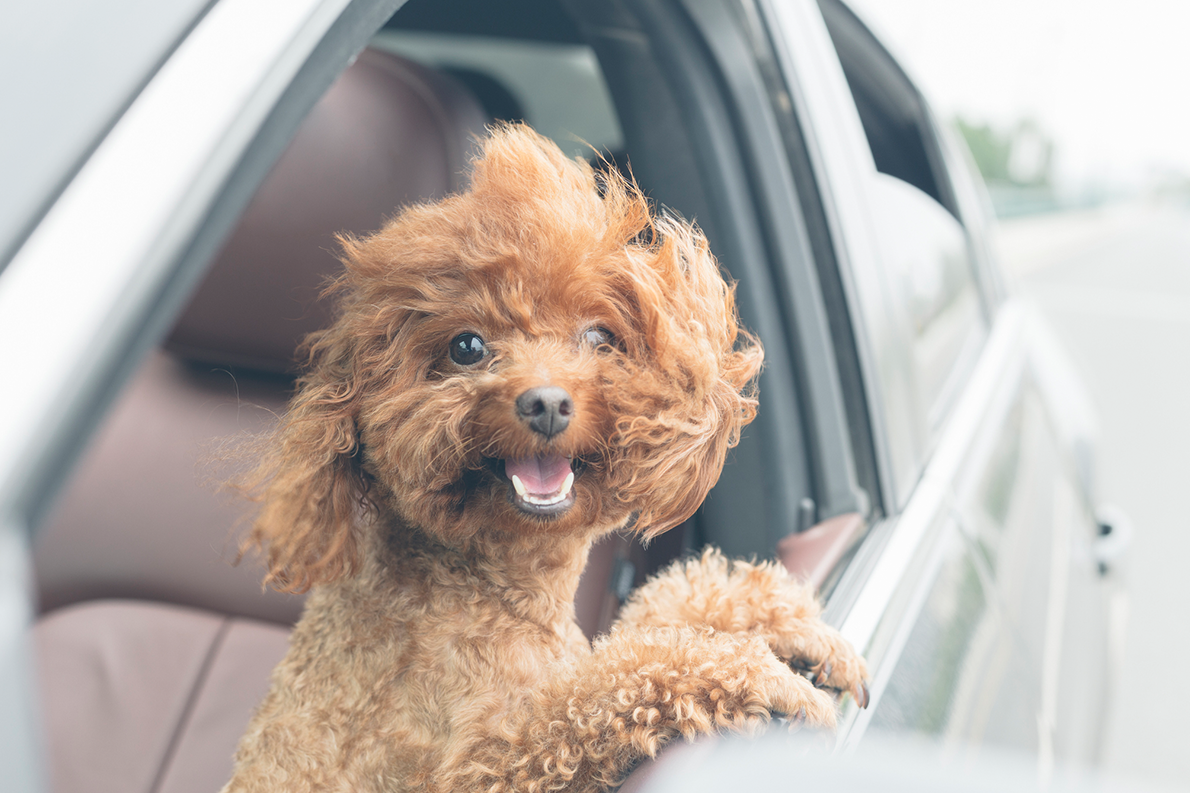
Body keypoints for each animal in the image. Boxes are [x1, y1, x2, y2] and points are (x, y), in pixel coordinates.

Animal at [224, 123, 866, 790]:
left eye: (599, 337)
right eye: (467, 346)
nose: (547, 403)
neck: (492, 589)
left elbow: (652, 618)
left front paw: (790, 627)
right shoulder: (477, 764)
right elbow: (601, 687)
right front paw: (764, 674)